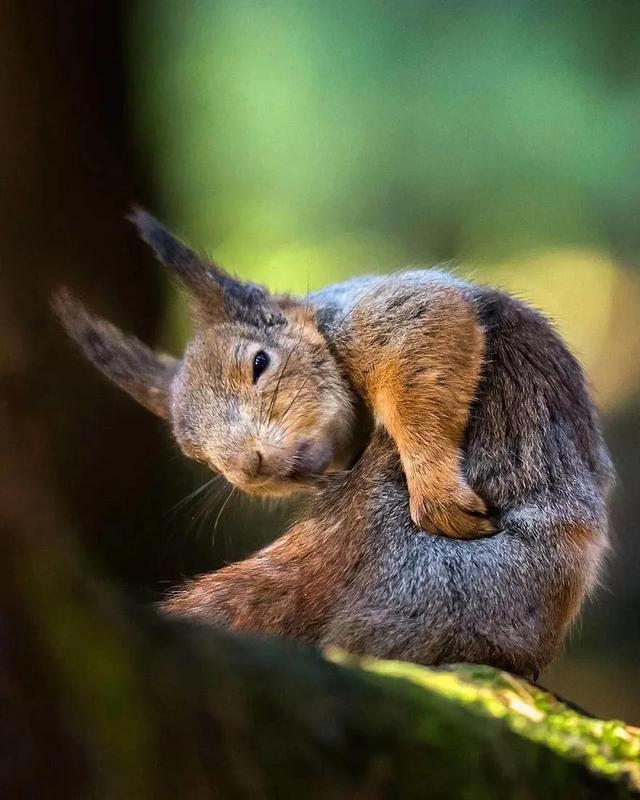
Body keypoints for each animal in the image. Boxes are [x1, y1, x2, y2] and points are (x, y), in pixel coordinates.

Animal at [55, 211, 616, 676]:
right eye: (193, 452)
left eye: (260, 363)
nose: (249, 467)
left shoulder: (372, 319)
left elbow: (427, 327)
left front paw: (434, 491)